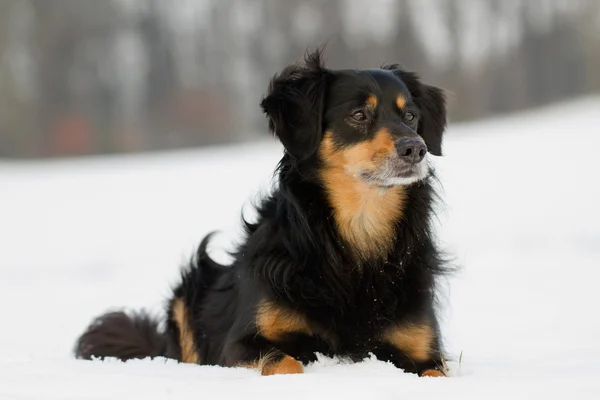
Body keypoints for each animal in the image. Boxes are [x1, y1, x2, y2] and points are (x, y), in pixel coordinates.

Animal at [75, 48, 450, 376]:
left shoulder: (424, 351)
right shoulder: (239, 345)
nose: (416, 148)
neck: (357, 236)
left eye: (411, 116)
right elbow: (286, 363)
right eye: (358, 115)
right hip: (189, 293)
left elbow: (434, 373)